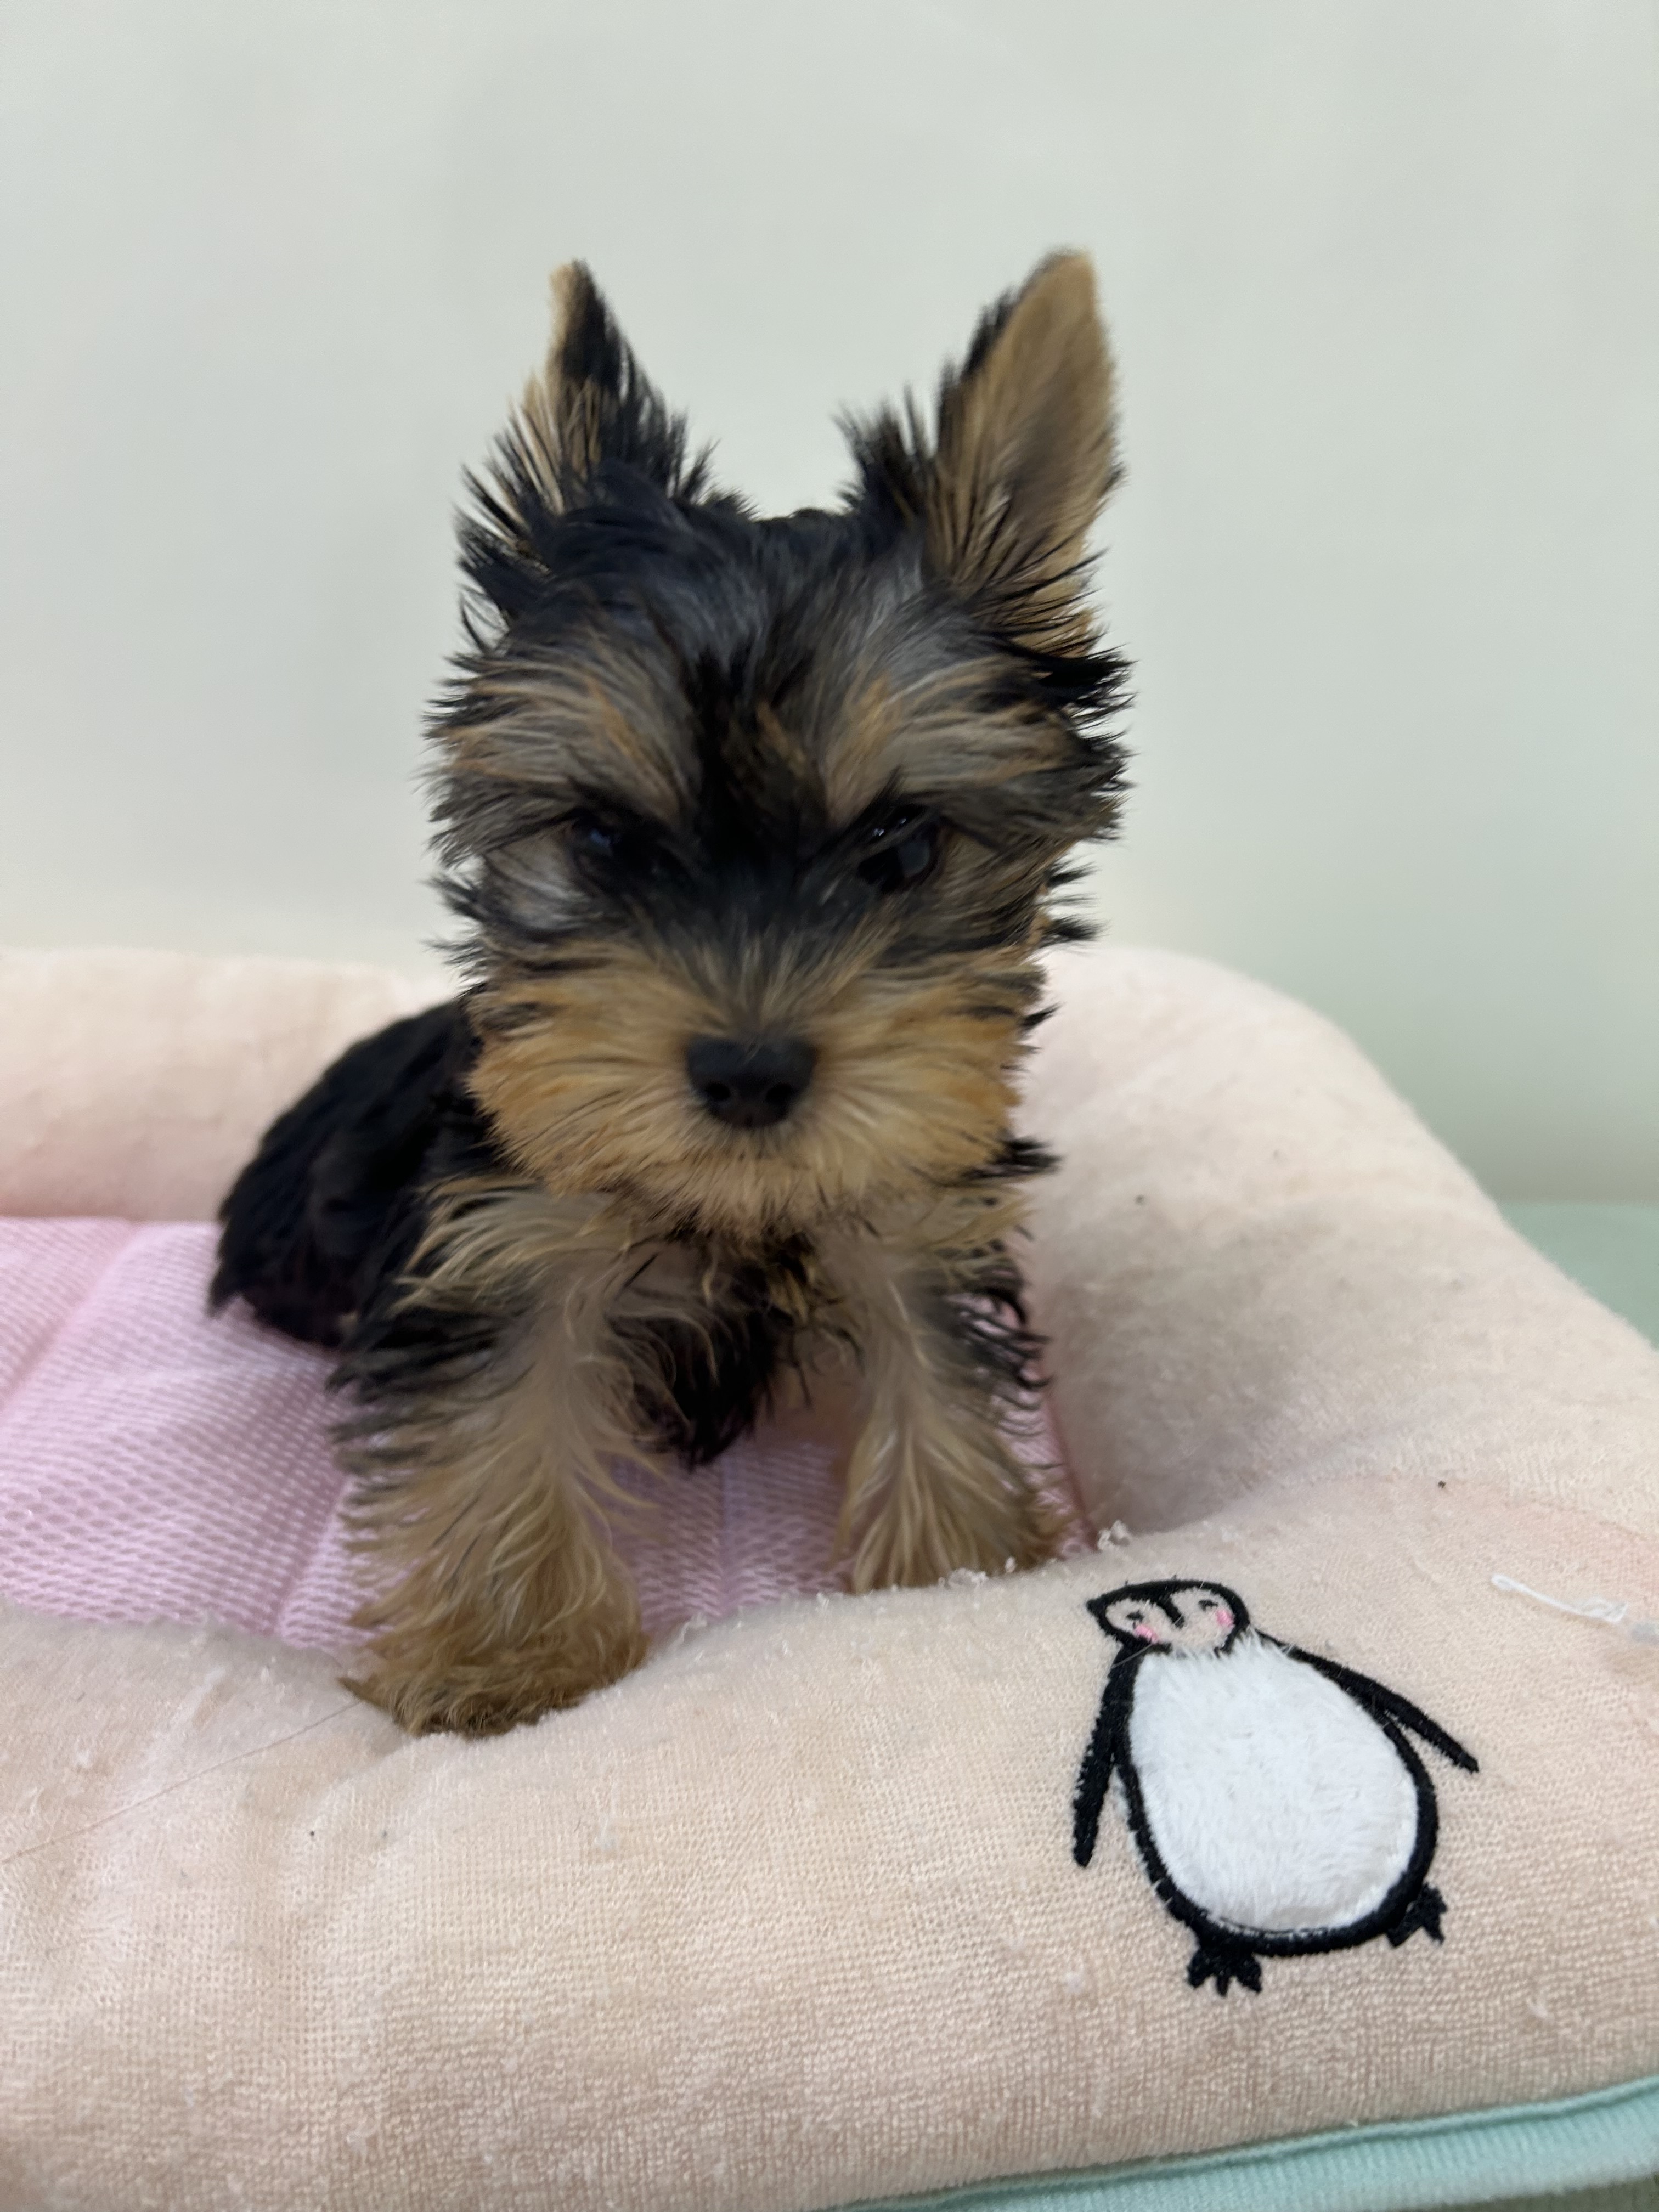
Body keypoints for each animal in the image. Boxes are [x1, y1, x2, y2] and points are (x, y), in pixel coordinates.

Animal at [212, 253, 1129, 1735]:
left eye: (901, 848)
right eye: (601, 842)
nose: (750, 1072)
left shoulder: (910, 1205)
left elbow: (934, 1369)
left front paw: (965, 1572)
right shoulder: (504, 1230)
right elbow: (506, 1412)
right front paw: (504, 1665)